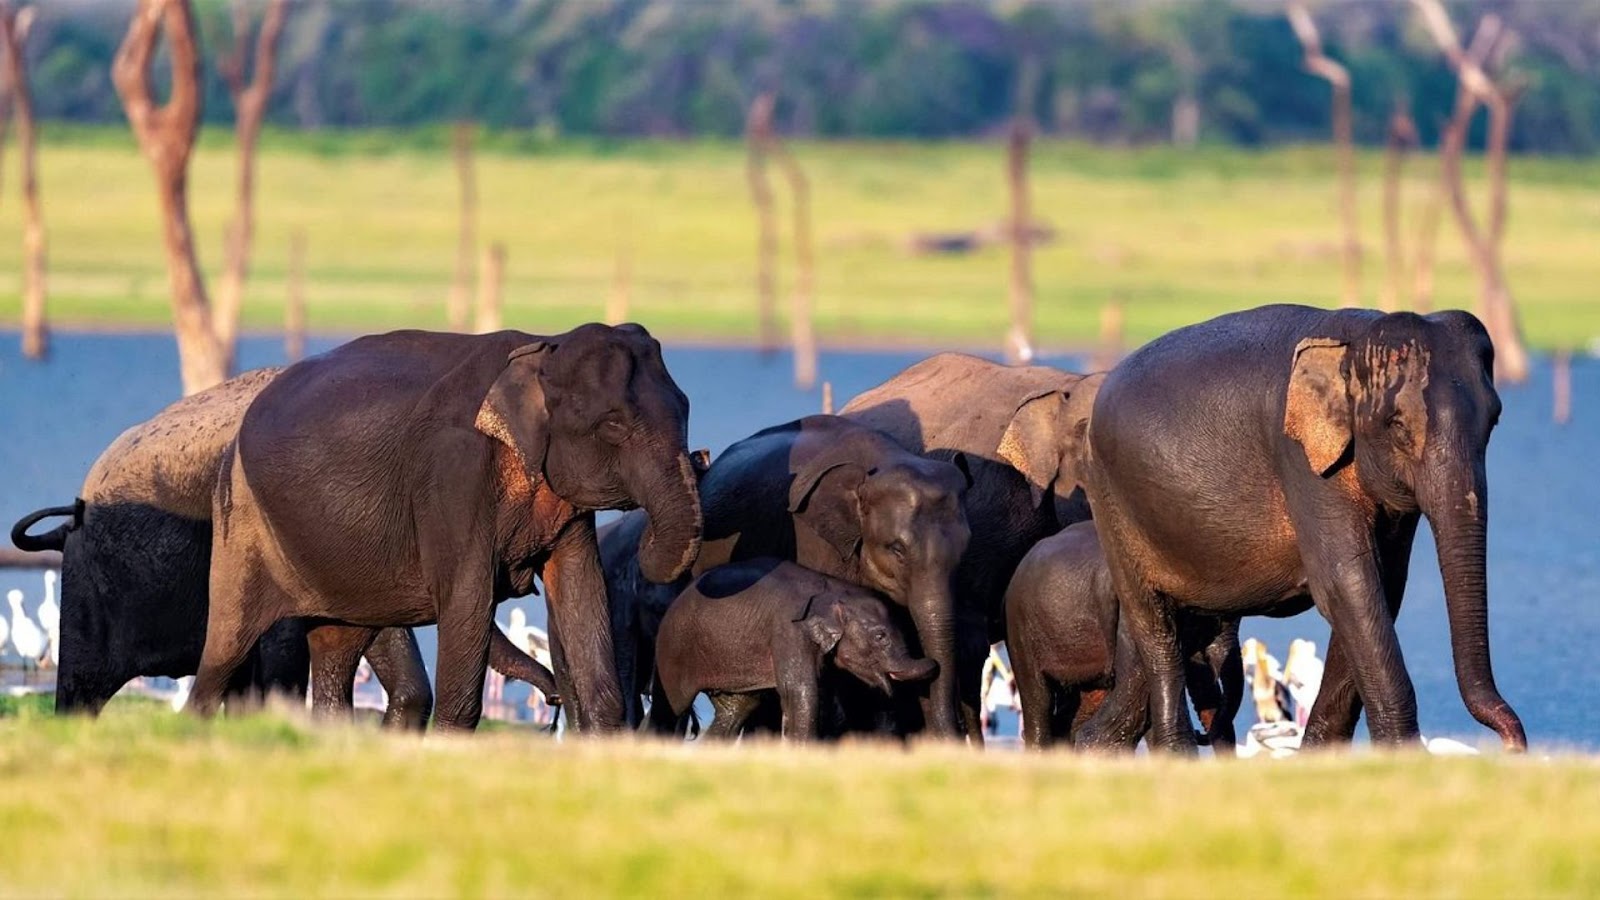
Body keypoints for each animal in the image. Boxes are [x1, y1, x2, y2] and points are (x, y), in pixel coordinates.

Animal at [188, 321, 700, 730]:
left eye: (686, 406)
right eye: (613, 426)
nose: (553, 697)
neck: (542, 347)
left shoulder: (564, 505)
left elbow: (581, 590)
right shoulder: (454, 475)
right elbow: (468, 598)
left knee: (337, 645)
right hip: (241, 519)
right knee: (224, 650)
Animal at [646, 557, 934, 739]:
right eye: (880, 636)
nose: (935, 664)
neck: (834, 591)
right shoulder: (788, 631)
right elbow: (801, 691)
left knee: (737, 708)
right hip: (672, 647)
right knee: (669, 706)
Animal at [1081, 305, 1516, 749]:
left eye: (1494, 421)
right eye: (1395, 425)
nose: (1512, 741)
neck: (1355, 340)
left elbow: (1382, 587)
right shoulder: (1301, 462)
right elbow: (1347, 584)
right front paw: (1403, 754)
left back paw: (1094, 743)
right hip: (1112, 504)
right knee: (1156, 630)